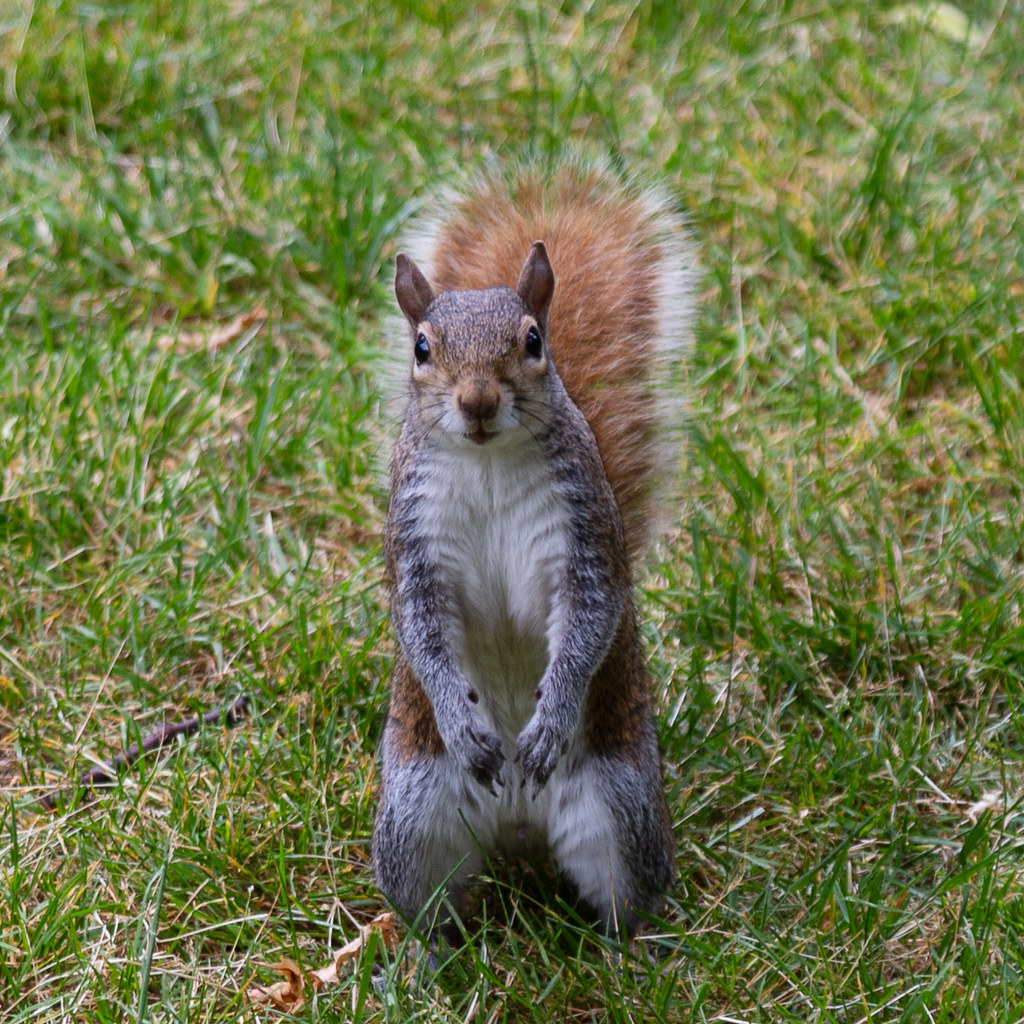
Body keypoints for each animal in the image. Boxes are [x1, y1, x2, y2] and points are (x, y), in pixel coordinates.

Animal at [372, 159, 697, 939]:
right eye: (421, 348)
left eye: (531, 342)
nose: (478, 402)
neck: (487, 461)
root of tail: (518, 836)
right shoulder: (415, 543)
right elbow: (421, 628)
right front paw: (462, 722)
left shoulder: (584, 536)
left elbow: (587, 620)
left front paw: (551, 718)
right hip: (413, 818)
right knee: (433, 907)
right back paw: (425, 957)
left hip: (618, 808)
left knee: (622, 897)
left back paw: (631, 951)